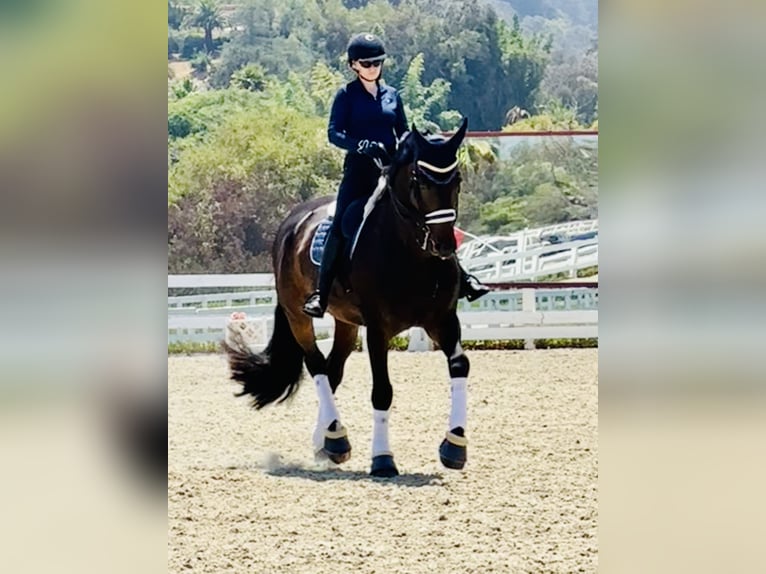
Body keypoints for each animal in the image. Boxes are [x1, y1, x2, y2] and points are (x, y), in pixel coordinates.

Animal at [225, 118, 472, 477]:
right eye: (419, 179)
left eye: (457, 180)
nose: (444, 245)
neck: (412, 254)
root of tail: (292, 220)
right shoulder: (378, 330)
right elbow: (382, 391)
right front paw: (382, 458)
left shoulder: (443, 321)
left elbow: (460, 365)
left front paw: (455, 445)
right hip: (298, 315)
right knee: (316, 366)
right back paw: (337, 440)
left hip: (345, 321)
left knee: (333, 371)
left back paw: (327, 440)